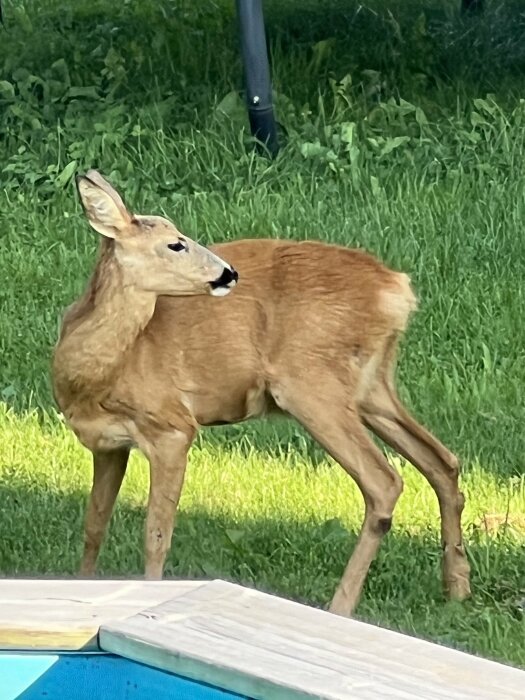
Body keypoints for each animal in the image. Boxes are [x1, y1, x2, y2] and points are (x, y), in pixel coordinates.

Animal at [52, 171, 470, 616]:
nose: (228, 273)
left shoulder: (172, 427)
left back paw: (340, 606)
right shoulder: (108, 444)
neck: (101, 374)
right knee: (442, 460)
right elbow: (94, 524)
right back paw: (457, 587)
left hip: (310, 383)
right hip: (372, 387)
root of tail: (397, 291)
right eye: (175, 243)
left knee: (385, 480)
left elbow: (156, 535)